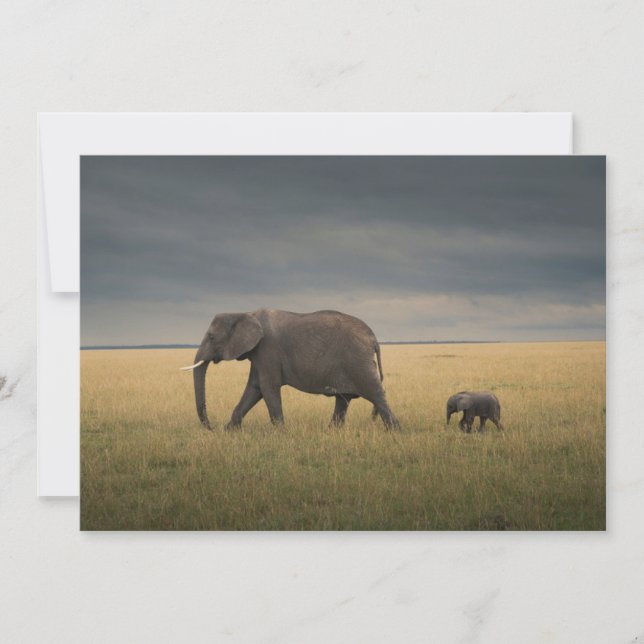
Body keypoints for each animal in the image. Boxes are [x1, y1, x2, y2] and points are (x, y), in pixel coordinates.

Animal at [180, 309, 400, 431]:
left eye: (211, 337)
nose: (212, 427)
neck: (245, 313)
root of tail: (374, 339)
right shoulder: (258, 353)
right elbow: (254, 388)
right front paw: (229, 431)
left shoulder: (267, 349)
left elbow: (267, 388)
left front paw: (280, 433)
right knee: (343, 400)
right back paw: (331, 431)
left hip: (358, 361)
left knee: (376, 394)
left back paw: (394, 431)